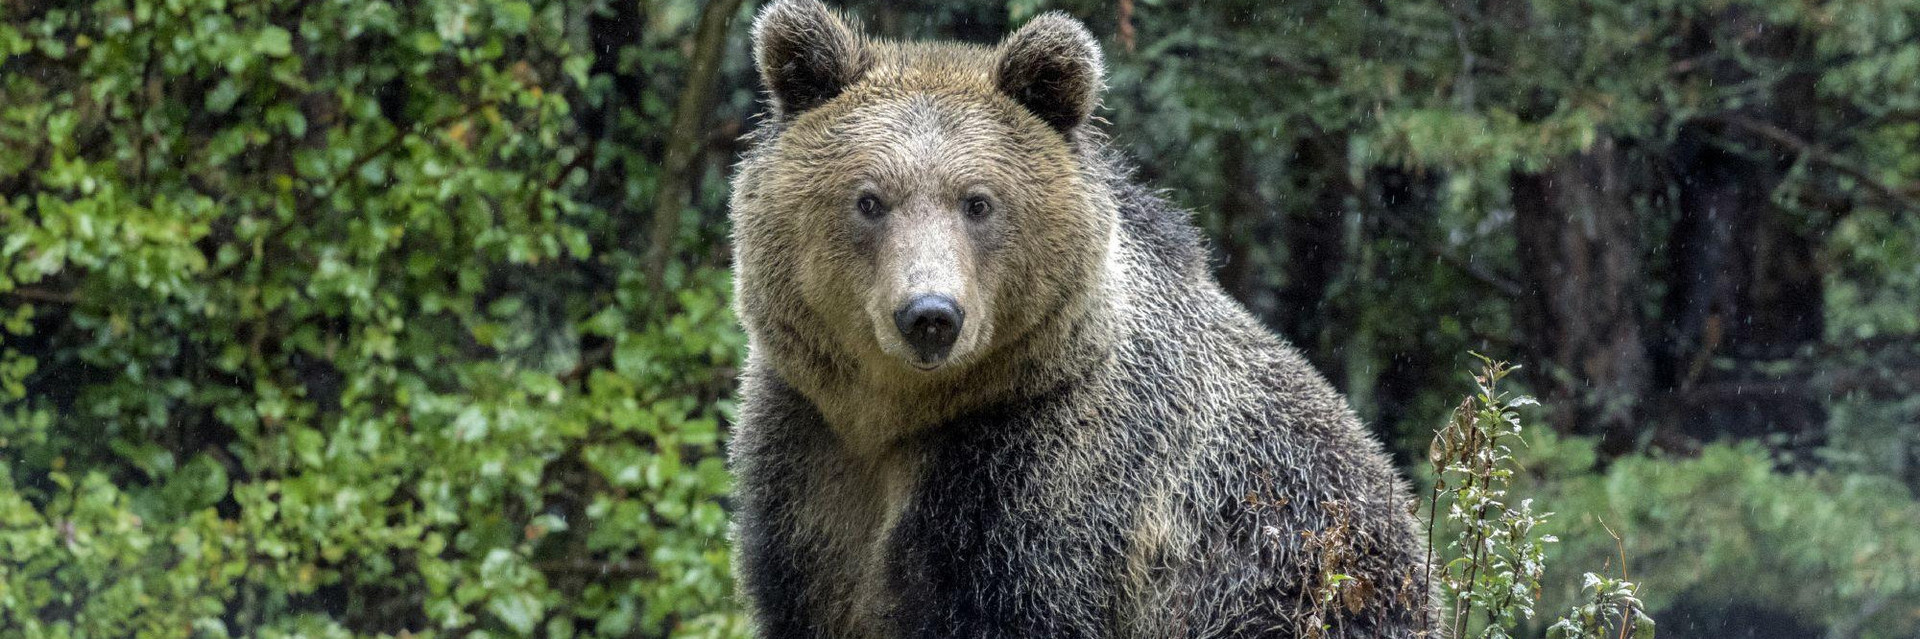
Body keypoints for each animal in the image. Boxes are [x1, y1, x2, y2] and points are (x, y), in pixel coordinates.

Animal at [726, 1, 1433, 637]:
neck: (897, 418)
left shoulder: (1051, 481)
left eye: (978, 202)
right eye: (869, 200)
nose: (930, 315)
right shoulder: (808, 460)